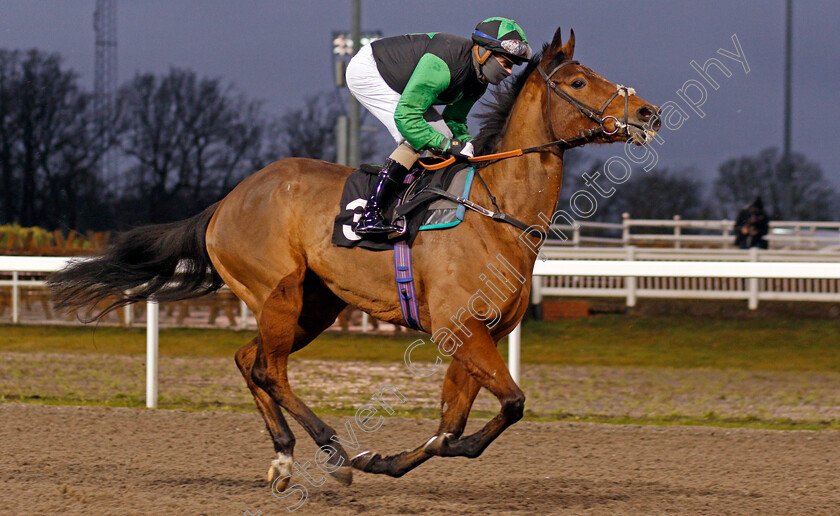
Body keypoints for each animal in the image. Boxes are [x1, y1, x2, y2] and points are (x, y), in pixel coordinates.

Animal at [49, 29, 660, 492]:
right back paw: (333, 452)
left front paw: (388, 460)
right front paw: (373, 458)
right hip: (278, 292)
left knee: (250, 361)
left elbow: (450, 427)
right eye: (579, 81)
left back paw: (285, 456)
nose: (648, 112)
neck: (495, 211)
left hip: (313, 306)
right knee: (270, 369)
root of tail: (227, 201)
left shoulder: (477, 335)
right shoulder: (461, 330)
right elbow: (509, 404)